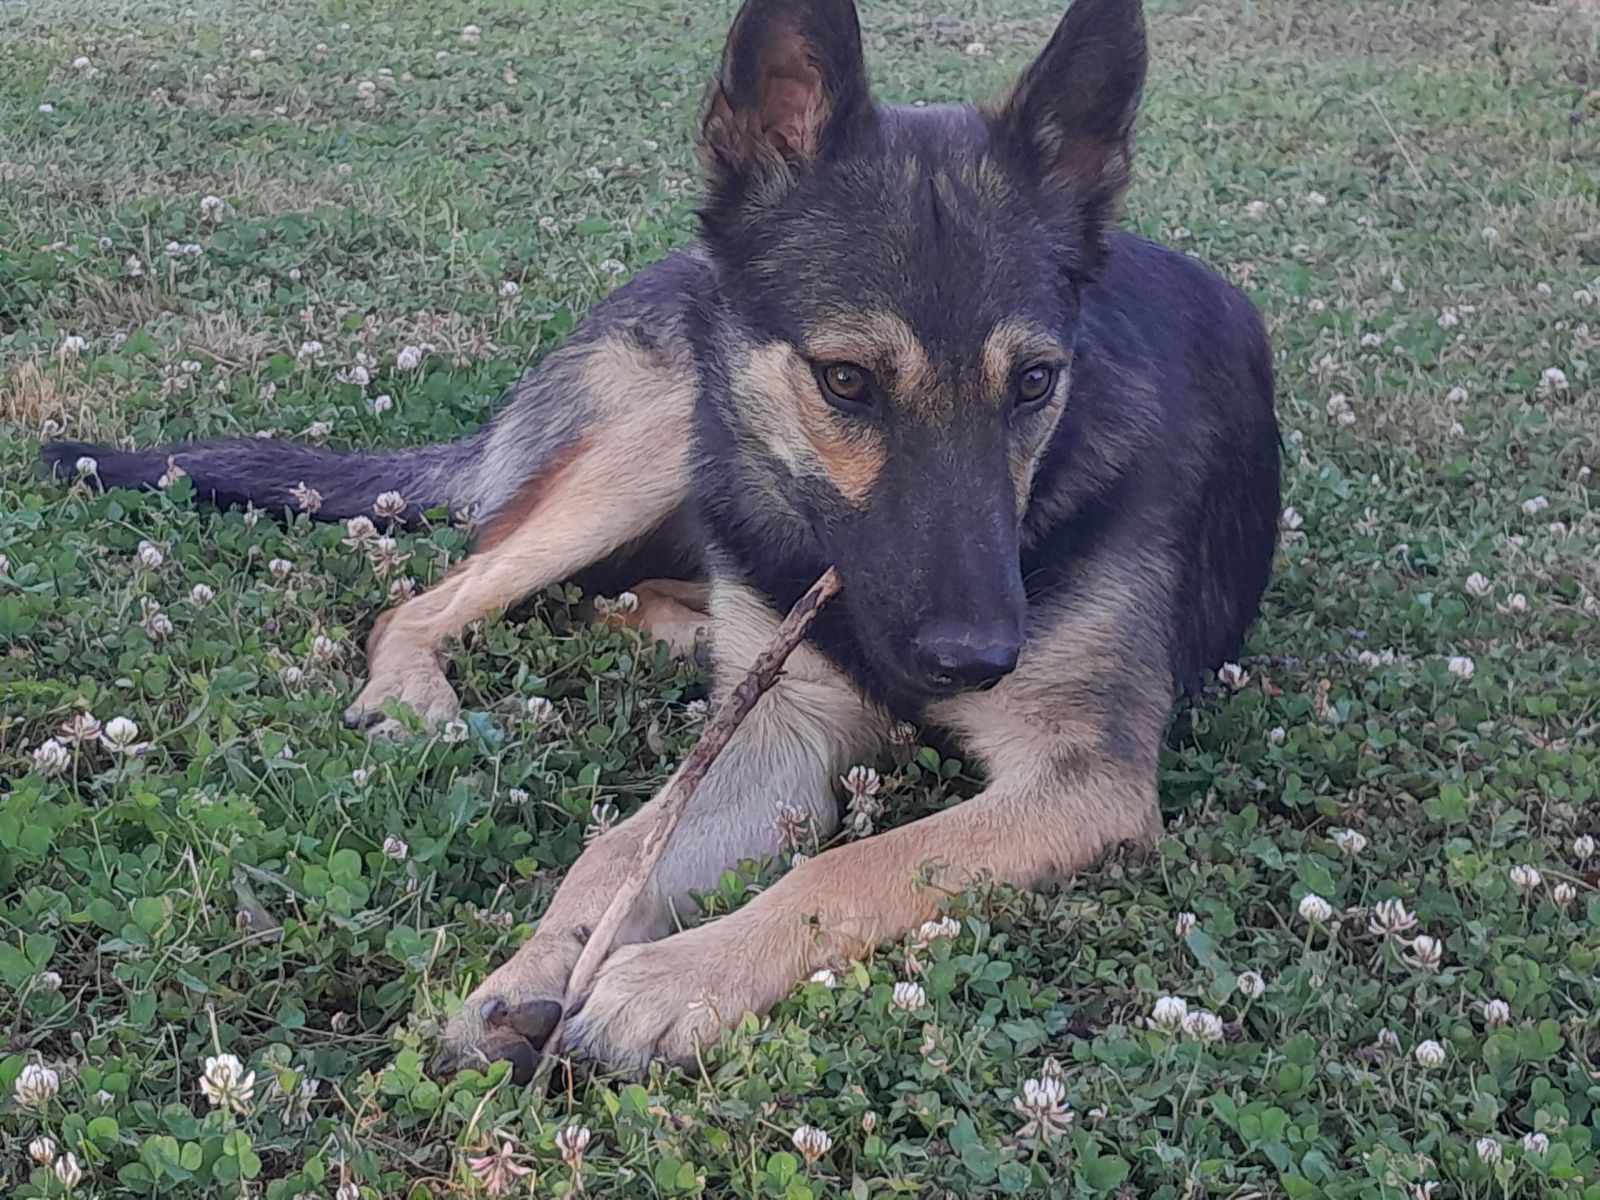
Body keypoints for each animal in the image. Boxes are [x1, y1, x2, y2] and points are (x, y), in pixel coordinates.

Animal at [43, 0, 1280, 1081]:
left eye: (1032, 384)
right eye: (845, 380)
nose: (973, 657)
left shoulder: (1082, 779)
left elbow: (859, 861)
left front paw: (671, 978)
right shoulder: (780, 729)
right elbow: (617, 855)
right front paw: (540, 965)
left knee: (620, 595)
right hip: (660, 431)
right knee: (436, 594)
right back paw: (424, 687)